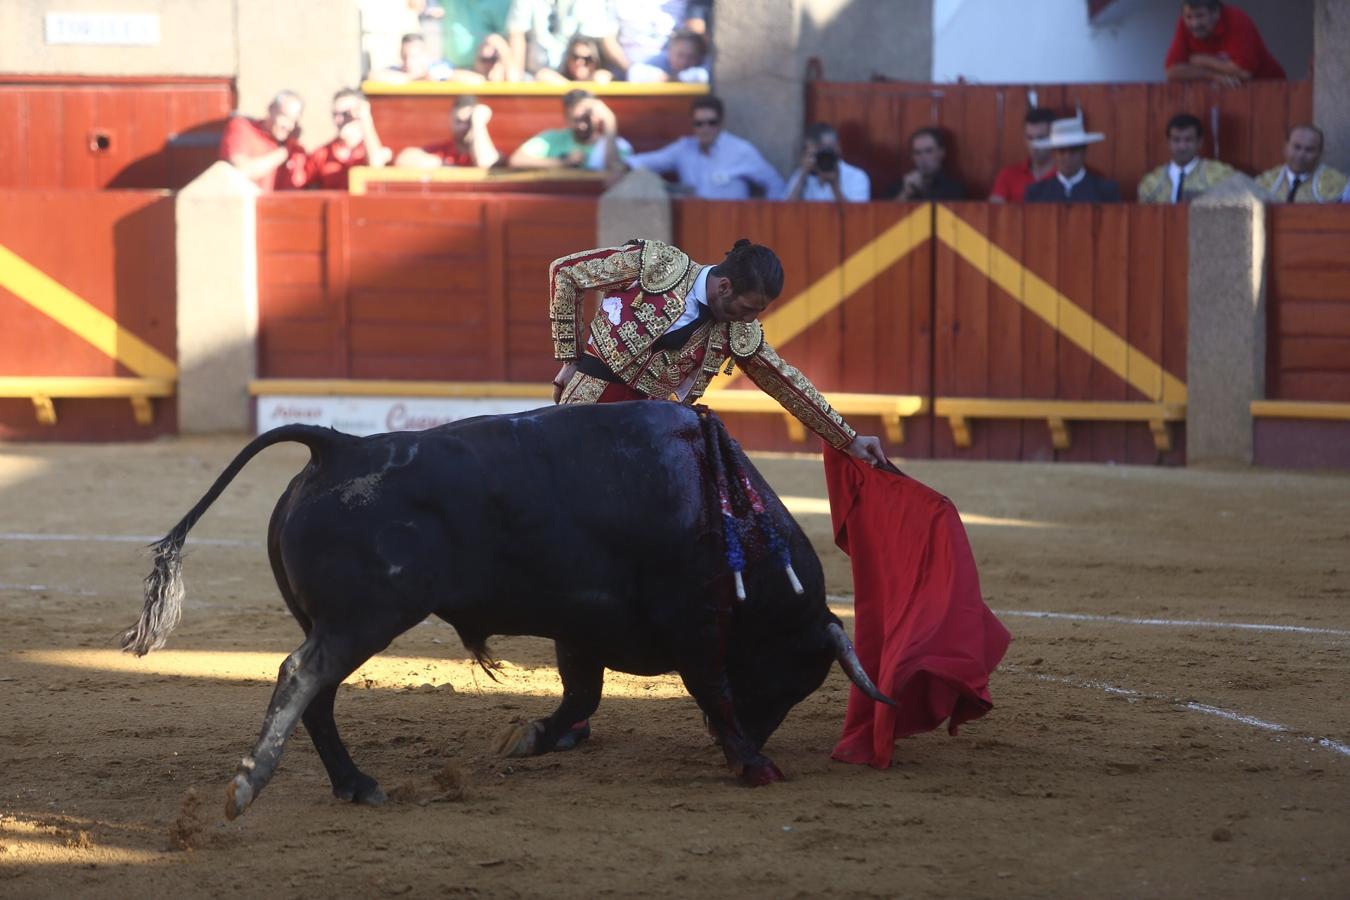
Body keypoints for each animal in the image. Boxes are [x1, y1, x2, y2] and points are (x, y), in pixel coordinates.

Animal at [118, 399, 896, 814]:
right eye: (794, 679)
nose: (762, 740)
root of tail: (337, 446)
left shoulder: (583, 623)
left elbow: (583, 693)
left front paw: (532, 737)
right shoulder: (694, 622)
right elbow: (711, 689)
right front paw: (751, 762)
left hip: (338, 621)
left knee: (320, 696)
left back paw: (356, 784)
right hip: (364, 617)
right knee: (300, 676)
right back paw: (250, 785)